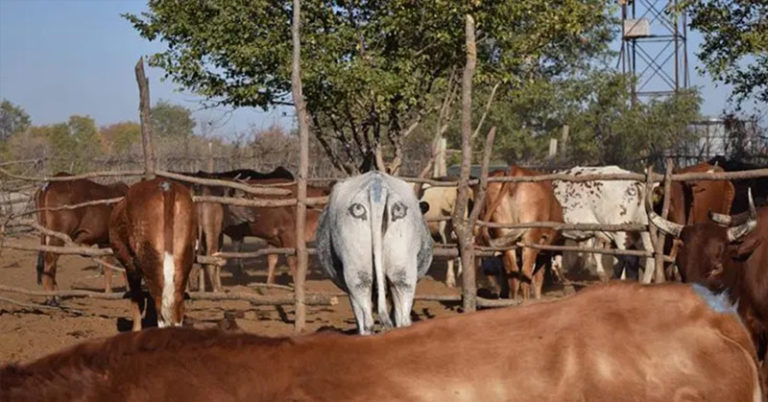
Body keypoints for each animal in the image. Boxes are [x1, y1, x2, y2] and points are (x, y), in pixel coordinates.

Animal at [35, 174, 128, 304]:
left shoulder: (104, 243)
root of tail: (50, 184)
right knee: (50, 260)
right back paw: (51, 297)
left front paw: (109, 292)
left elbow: (107, 265)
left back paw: (56, 295)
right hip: (58, 236)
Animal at [108, 178, 197, 331]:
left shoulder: (131, 267)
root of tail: (167, 187)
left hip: (150, 261)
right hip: (184, 259)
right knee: (177, 307)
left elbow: (136, 300)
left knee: (160, 309)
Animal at [480, 166, 562, 300]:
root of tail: (515, 170)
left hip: (504, 235)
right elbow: (538, 277)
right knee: (525, 273)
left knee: (512, 274)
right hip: (530, 239)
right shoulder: (543, 251)